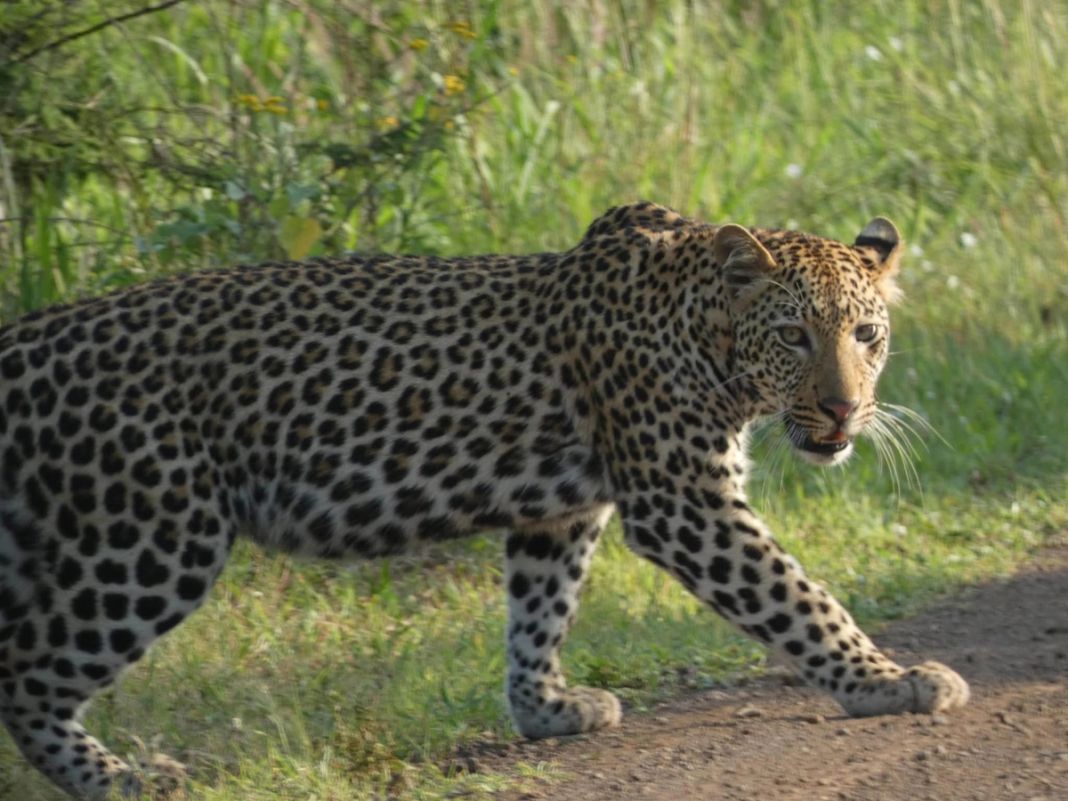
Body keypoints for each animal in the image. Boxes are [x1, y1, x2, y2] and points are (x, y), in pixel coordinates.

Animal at [0, 201, 969, 798]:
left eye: (867, 334)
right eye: (795, 335)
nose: (844, 409)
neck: (704, 329)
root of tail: (30, 337)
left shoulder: (562, 509)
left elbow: (540, 611)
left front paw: (546, 710)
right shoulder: (684, 499)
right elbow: (800, 597)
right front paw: (888, 681)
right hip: (149, 537)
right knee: (26, 675)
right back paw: (123, 778)